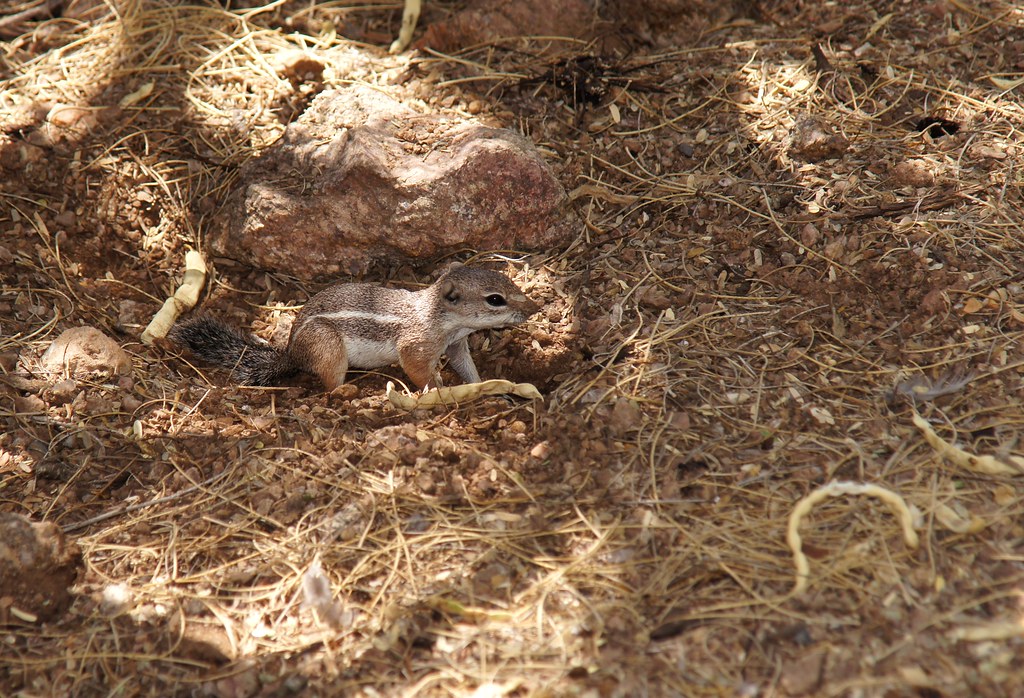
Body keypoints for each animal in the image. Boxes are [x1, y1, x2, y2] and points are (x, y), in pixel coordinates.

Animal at [169, 263, 540, 391]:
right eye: (495, 299)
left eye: (507, 280)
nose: (534, 308)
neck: (438, 316)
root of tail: (290, 354)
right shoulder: (416, 346)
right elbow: (417, 368)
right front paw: (437, 388)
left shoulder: (456, 345)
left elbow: (466, 367)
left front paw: (481, 383)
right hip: (329, 349)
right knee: (330, 386)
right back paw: (348, 392)